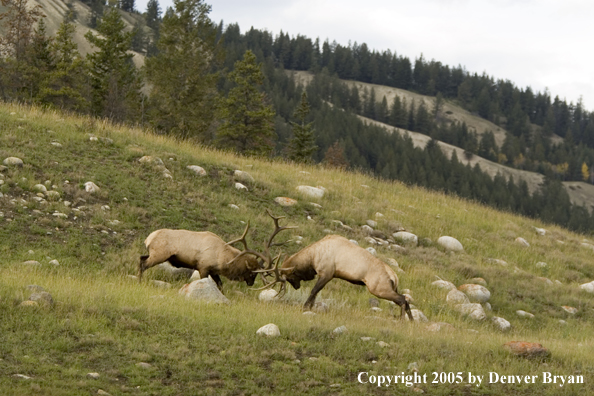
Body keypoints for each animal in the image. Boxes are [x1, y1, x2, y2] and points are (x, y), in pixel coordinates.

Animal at [253, 234, 412, 320]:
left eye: (290, 277)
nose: (297, 286)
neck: (312, 257)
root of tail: (394, 276)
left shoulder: (327, 273)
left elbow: (314, 291)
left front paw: (305, 307)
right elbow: (316, 293)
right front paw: (310, 307)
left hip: (378, 288)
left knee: (402, 299)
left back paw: (402, 320)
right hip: (389, 288)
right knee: (404, 298)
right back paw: (410, 321)